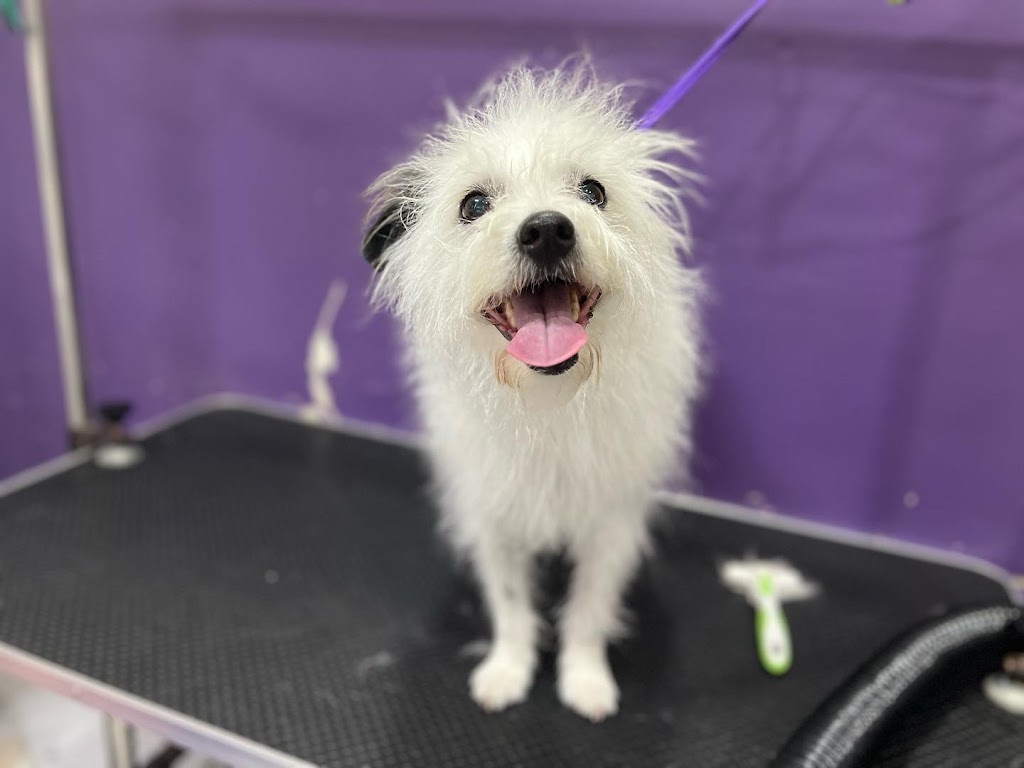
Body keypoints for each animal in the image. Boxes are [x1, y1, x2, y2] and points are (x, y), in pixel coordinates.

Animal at [362, 62, 703, 721]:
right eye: (473, 204)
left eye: (593, 192)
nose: (546, 229)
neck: (550, 404)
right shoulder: (494, 516)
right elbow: (512, 605)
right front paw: (508, 670)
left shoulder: (611, 522)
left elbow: (589, 609)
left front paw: (585, 679)